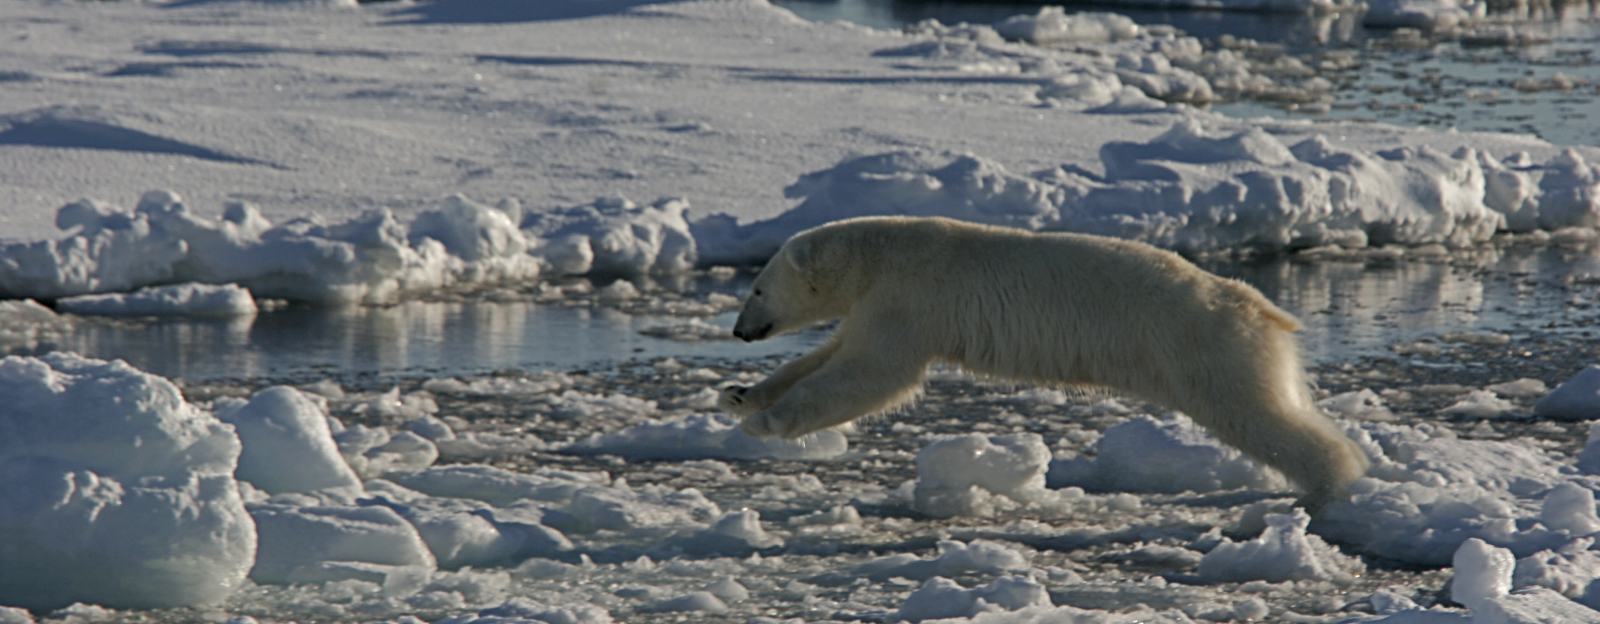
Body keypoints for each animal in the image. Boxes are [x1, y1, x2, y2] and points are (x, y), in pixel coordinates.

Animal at [720, 216, 1369, 509]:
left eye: (757, 288)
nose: (739, 331)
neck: (884, 252)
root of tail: (1259, 304)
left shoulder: (912, 297)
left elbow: (872, 374)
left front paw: (766, 424)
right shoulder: (876, 302)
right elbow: (833, 354)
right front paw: (741, 396)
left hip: (1200, 344)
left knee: (1254, 413)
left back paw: (1331, 481)